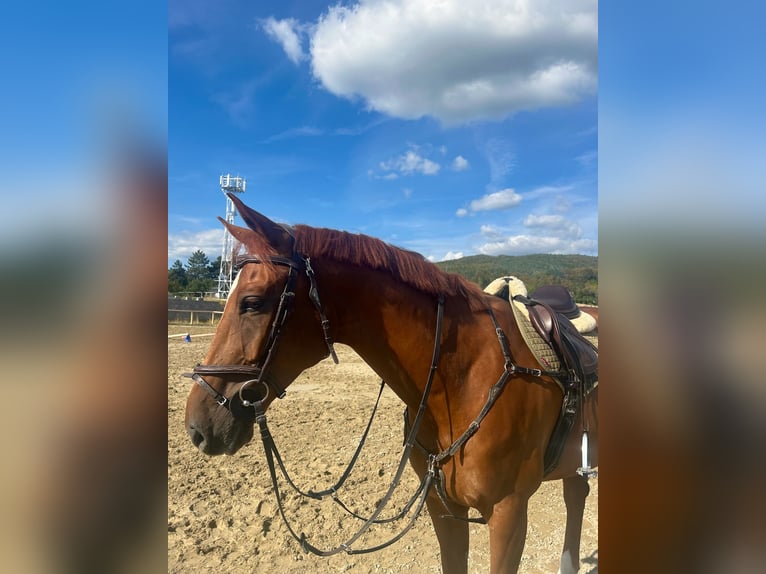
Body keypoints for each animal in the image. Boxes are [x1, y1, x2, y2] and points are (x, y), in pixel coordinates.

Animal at [186, 196, 600, 572]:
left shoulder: (509, 513)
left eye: (252, 302)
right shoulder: (443, 509)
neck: (463, 377)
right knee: (577, 494)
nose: (196, 427)